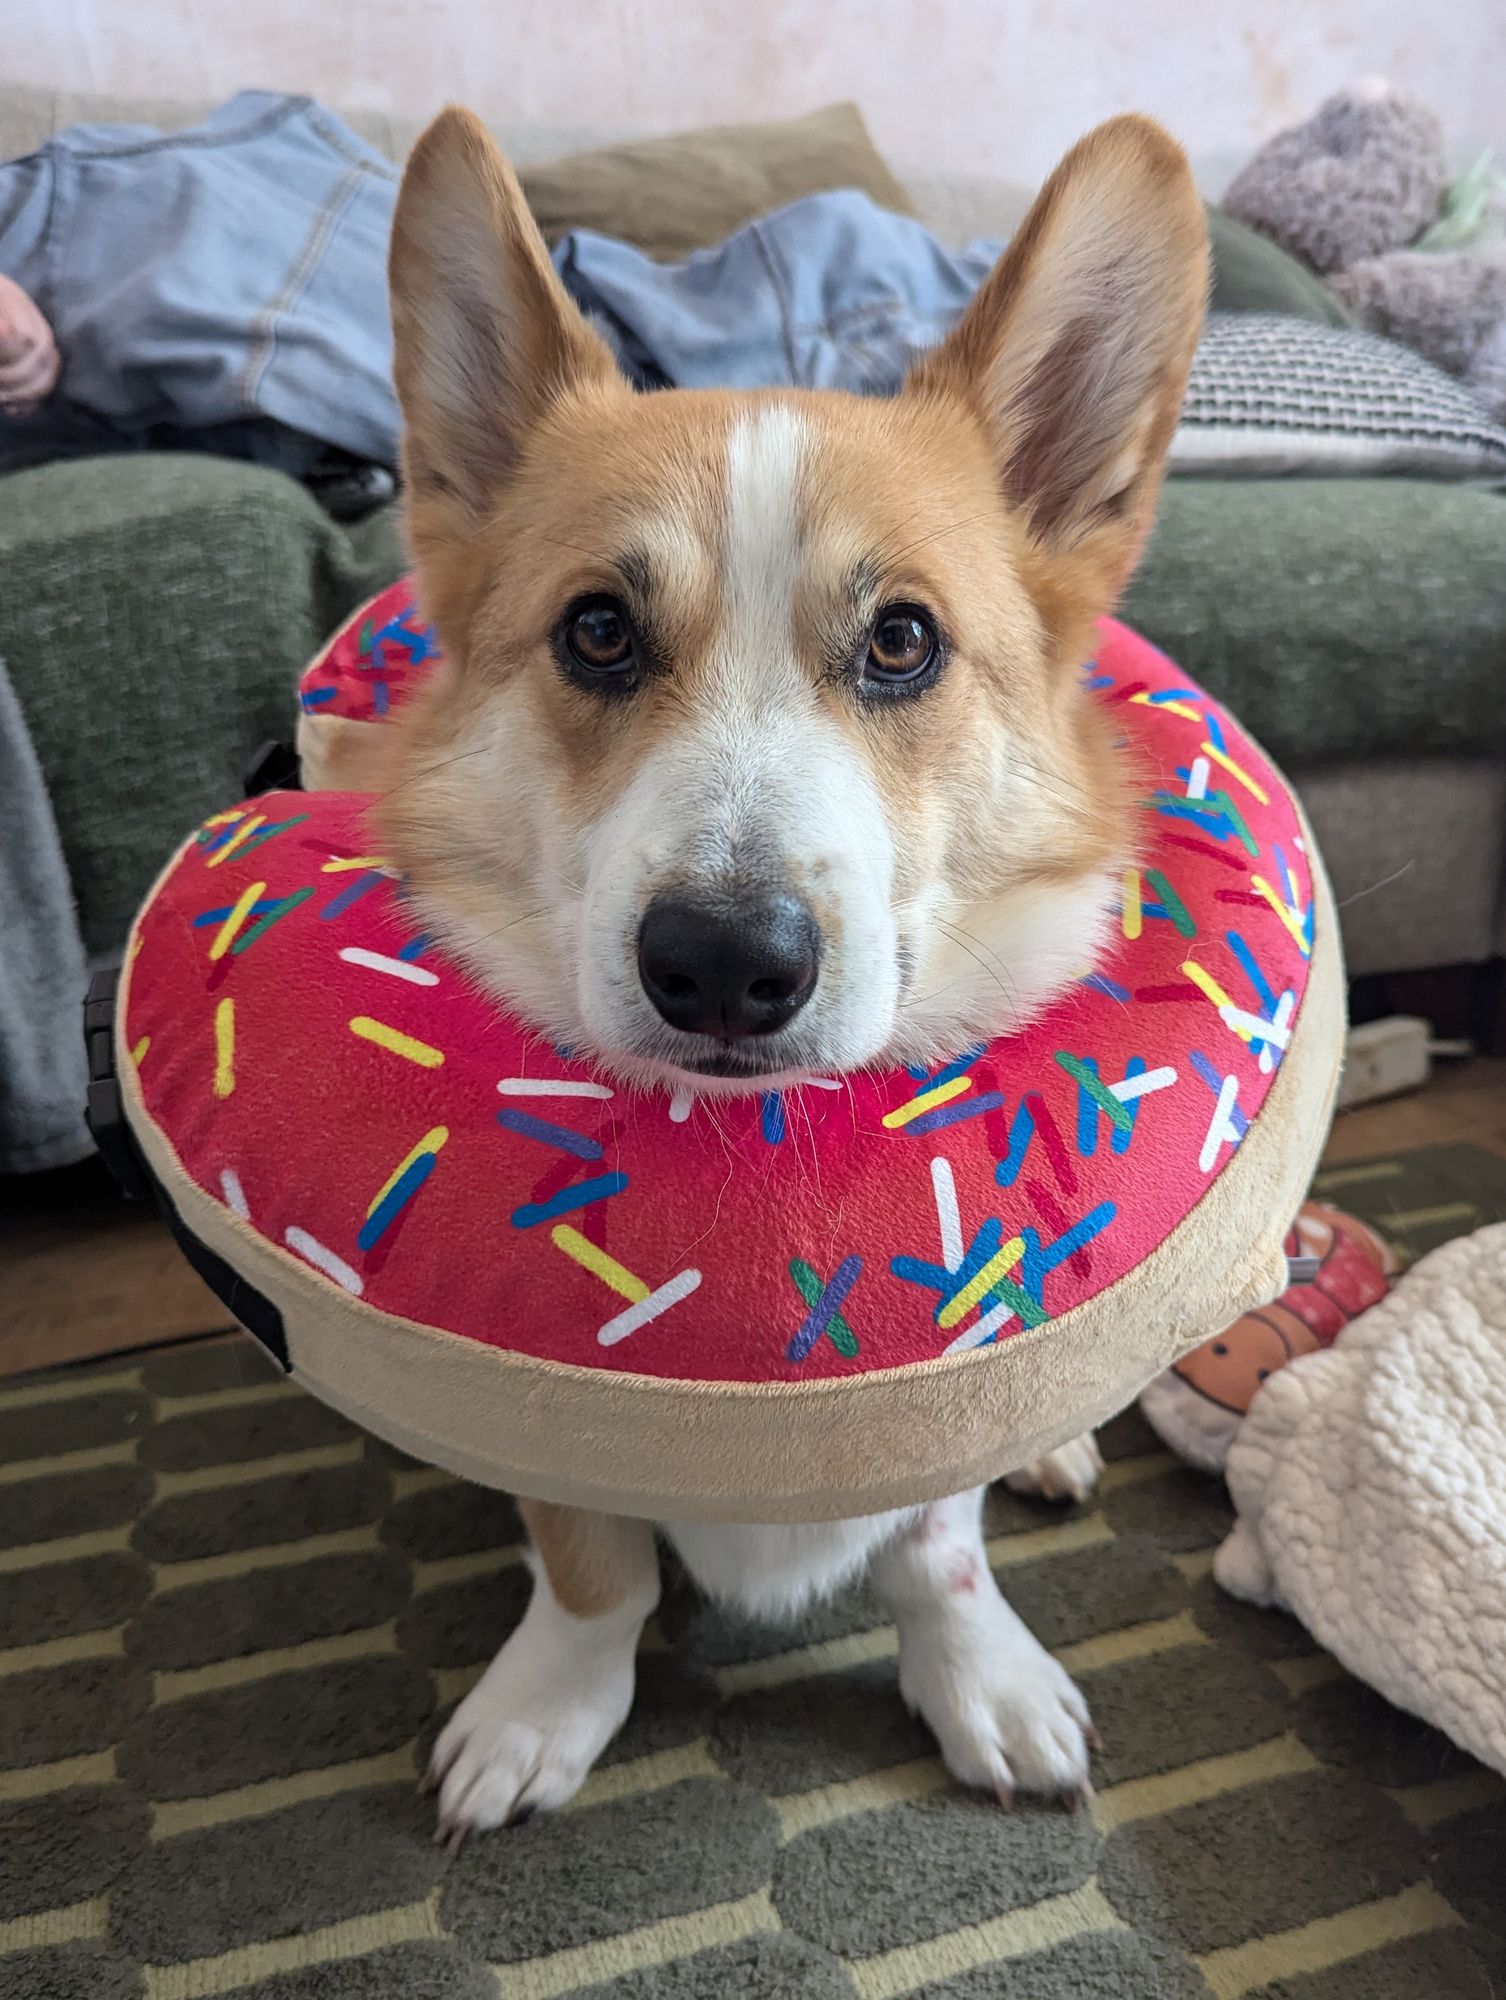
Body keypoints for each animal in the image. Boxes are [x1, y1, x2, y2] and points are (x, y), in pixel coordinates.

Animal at [350, 109, 1200, 1840]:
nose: (726, 967)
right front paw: (544, 1711)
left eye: (901, 643)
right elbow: (591, 1574)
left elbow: (936, 1548)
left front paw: (980, 1684)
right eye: (598, 632)